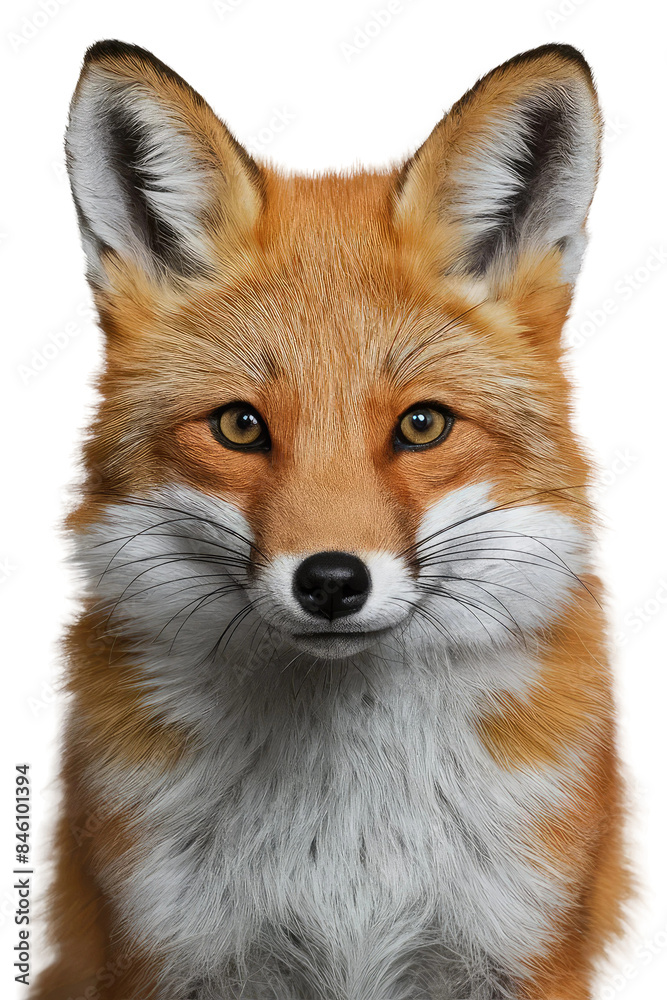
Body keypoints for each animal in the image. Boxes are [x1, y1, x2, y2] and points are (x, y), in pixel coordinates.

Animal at [32, 39, 631, 1000]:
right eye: (240, 426)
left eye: (421, 425)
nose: (331, 582)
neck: (347, 854)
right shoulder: (166, 953)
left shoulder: (517, 949)